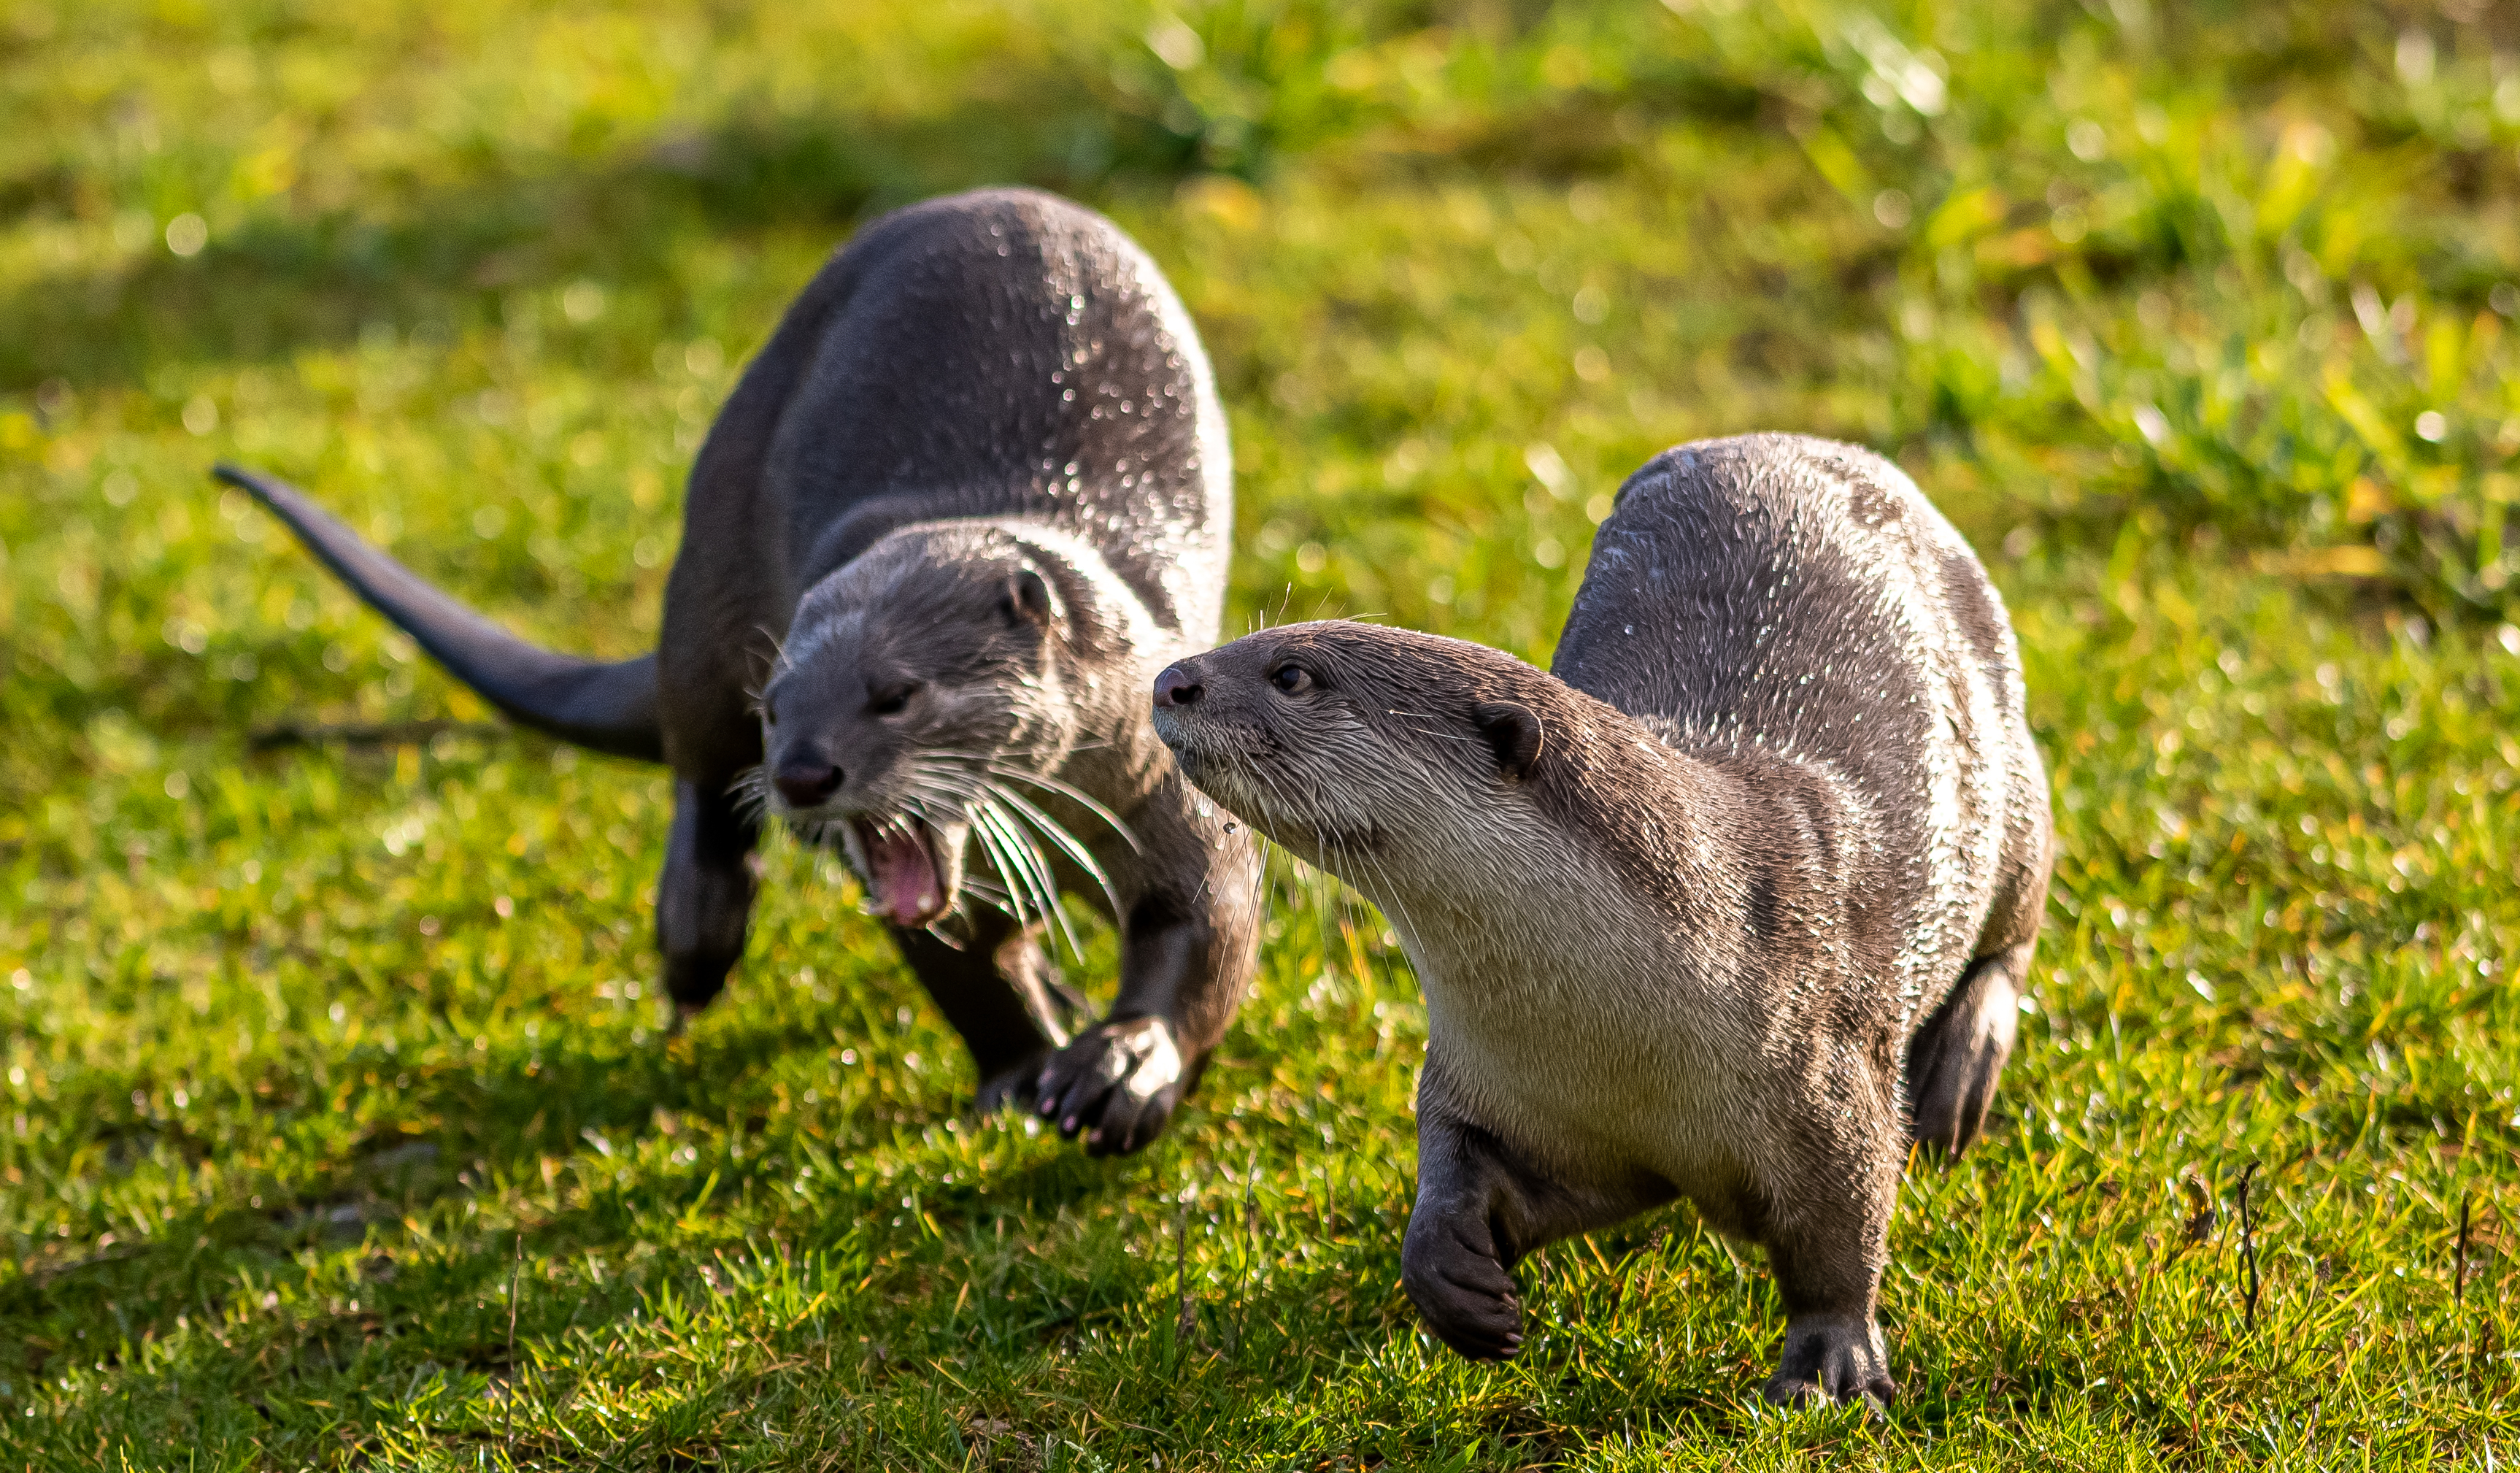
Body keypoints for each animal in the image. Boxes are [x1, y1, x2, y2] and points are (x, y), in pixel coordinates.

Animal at [215, 187, 1260, 1156]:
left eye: (896, 694)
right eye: (777, 708)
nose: (803, 773)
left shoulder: (1164, 780)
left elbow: (1204, 927)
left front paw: (1122, 1063)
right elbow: (965, 971)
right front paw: (1019, 1074)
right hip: (707, 570)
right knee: (696, 763)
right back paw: (696, 937)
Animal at [1148, 434, 2052, 1404]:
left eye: (1291, 673)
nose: (1170, 679)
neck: (1625, 1030)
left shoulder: (1824, 1071)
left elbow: (1842, 1232)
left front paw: (1830, 1360)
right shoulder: (1501, 1084)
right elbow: (1461, 1165)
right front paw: (1452, 1278)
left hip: (2012, 771)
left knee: (2015, 924)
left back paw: (1958, 1075)